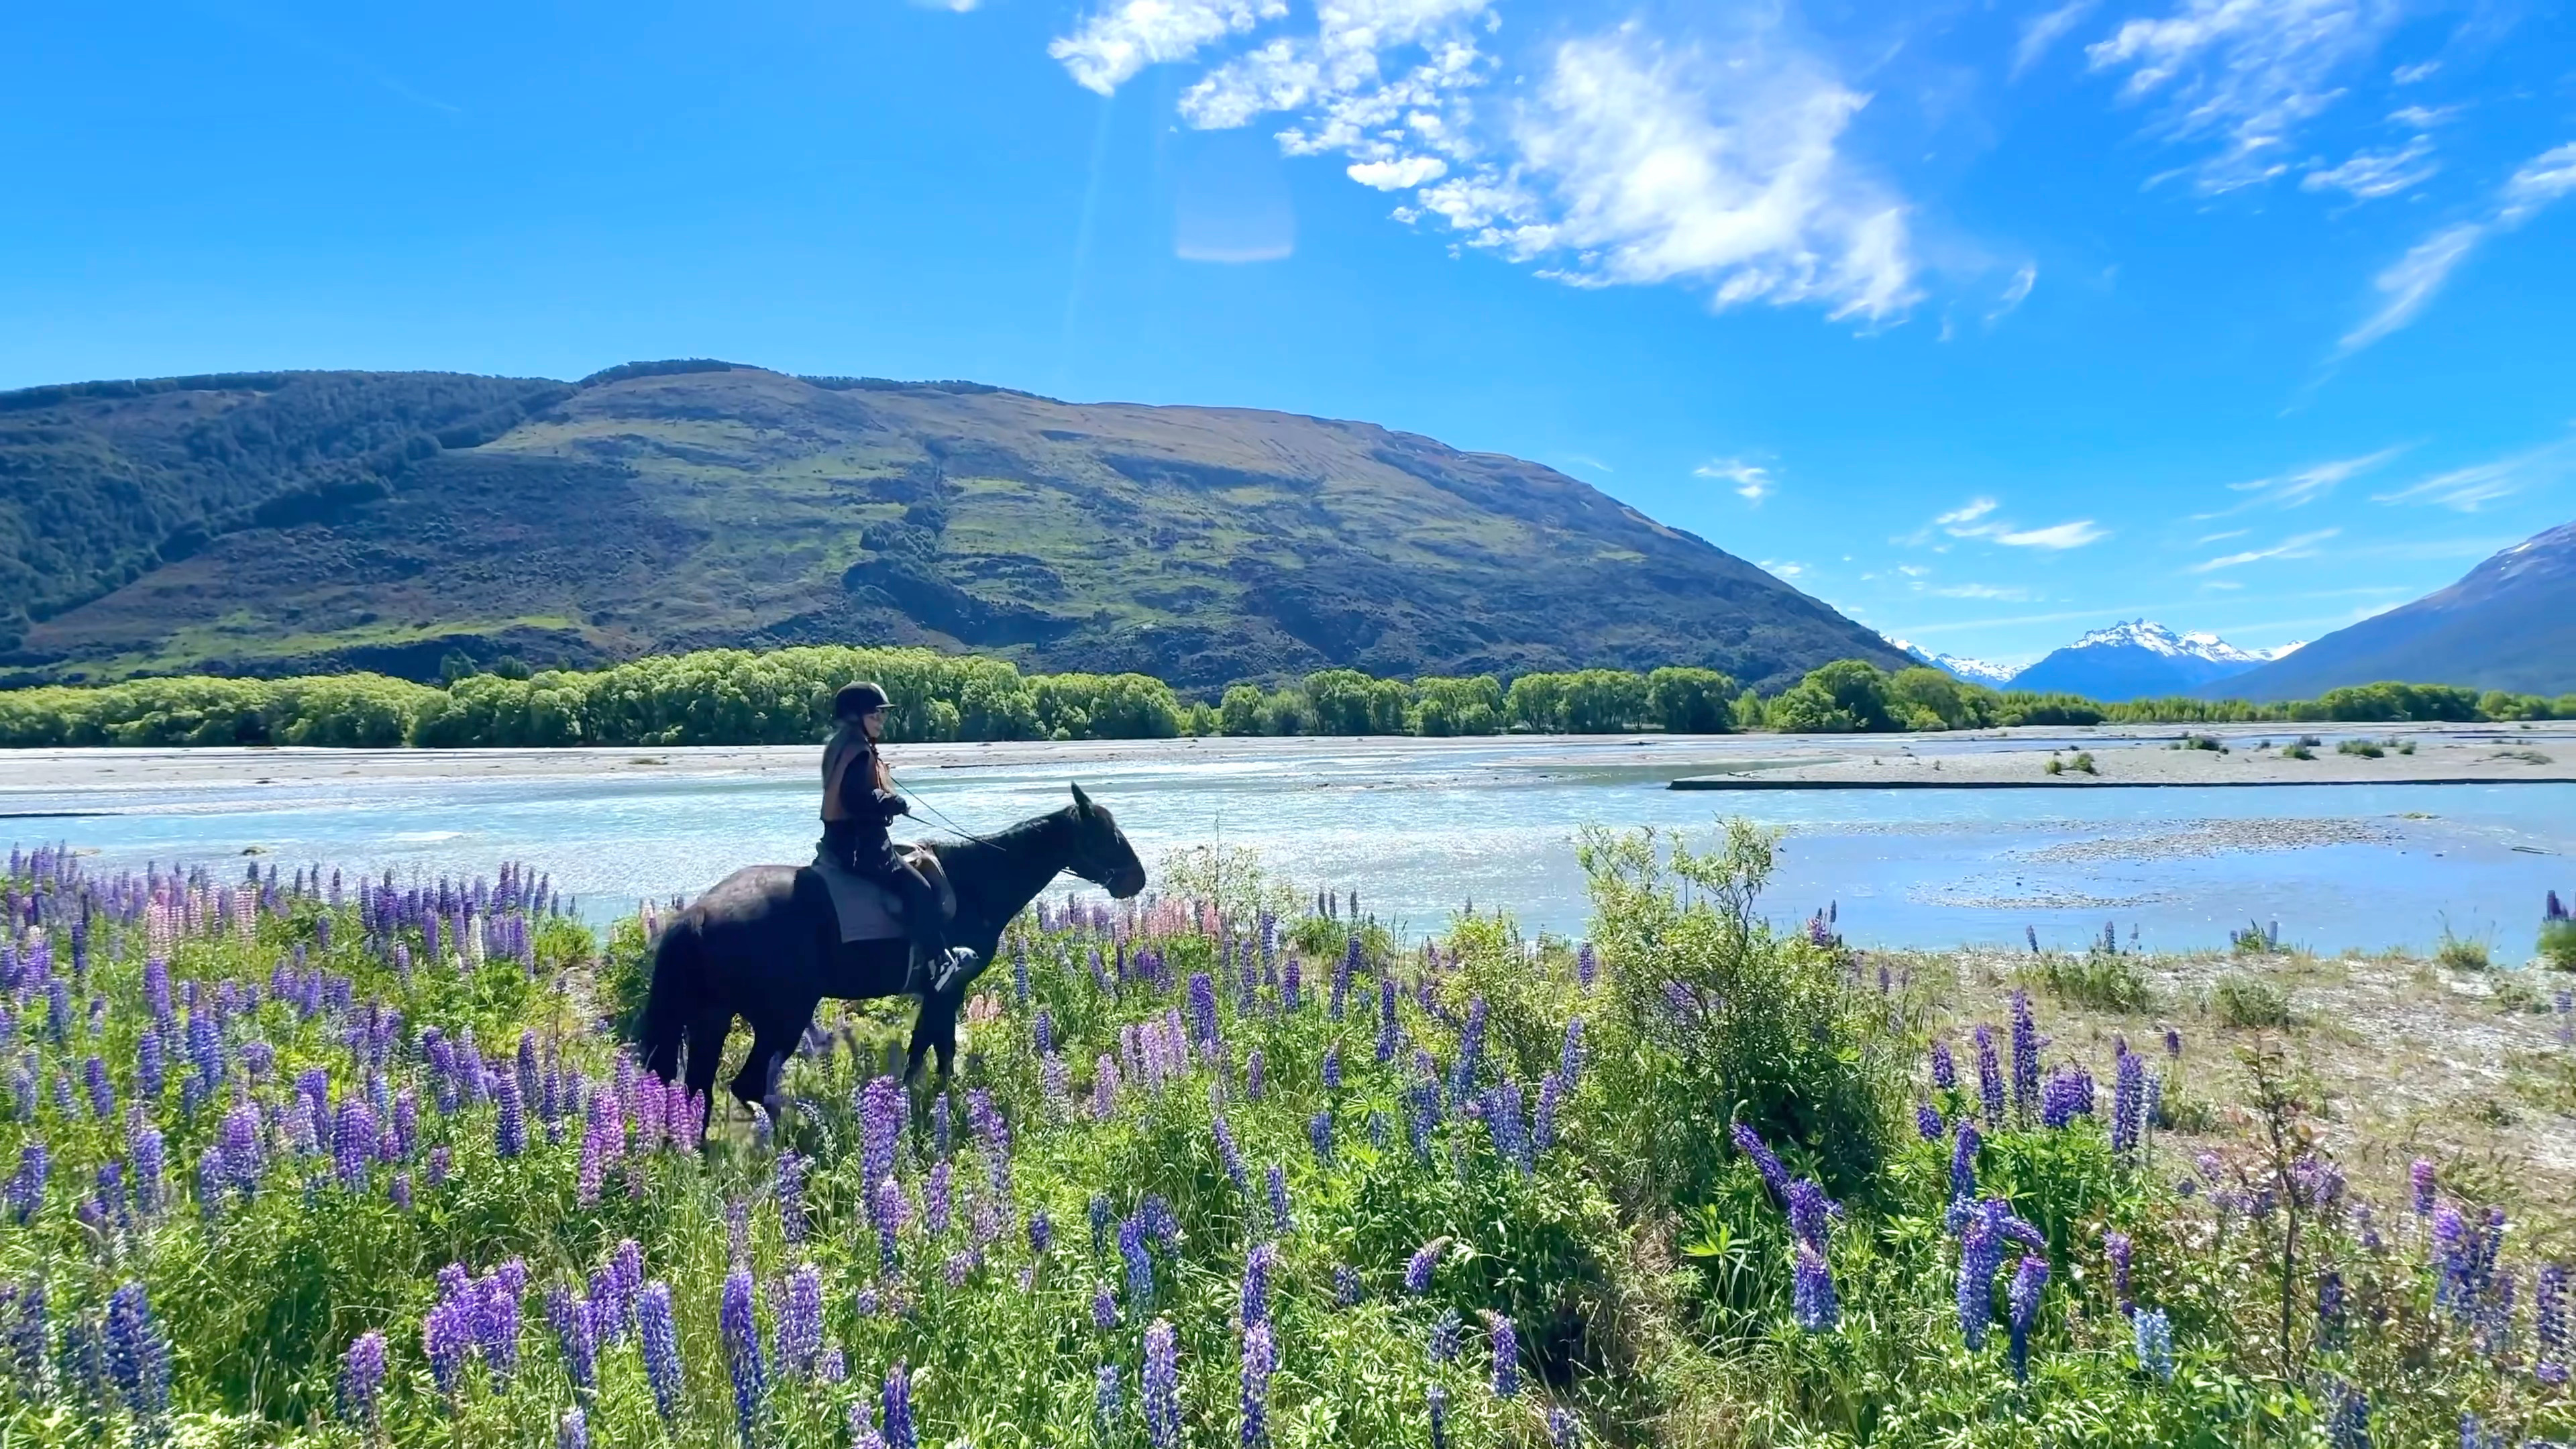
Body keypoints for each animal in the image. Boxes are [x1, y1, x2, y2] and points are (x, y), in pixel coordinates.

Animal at [639, 784, 1143, 1108]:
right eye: (1106, 834)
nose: (1136, 879)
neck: (976, 880)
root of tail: (698, 914)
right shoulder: (947, 987)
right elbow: (933, 1048)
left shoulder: (942, 993)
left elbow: (931, 1047)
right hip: (782, 1016)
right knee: (746, 1087)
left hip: (712, 1018)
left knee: (699, 1091)